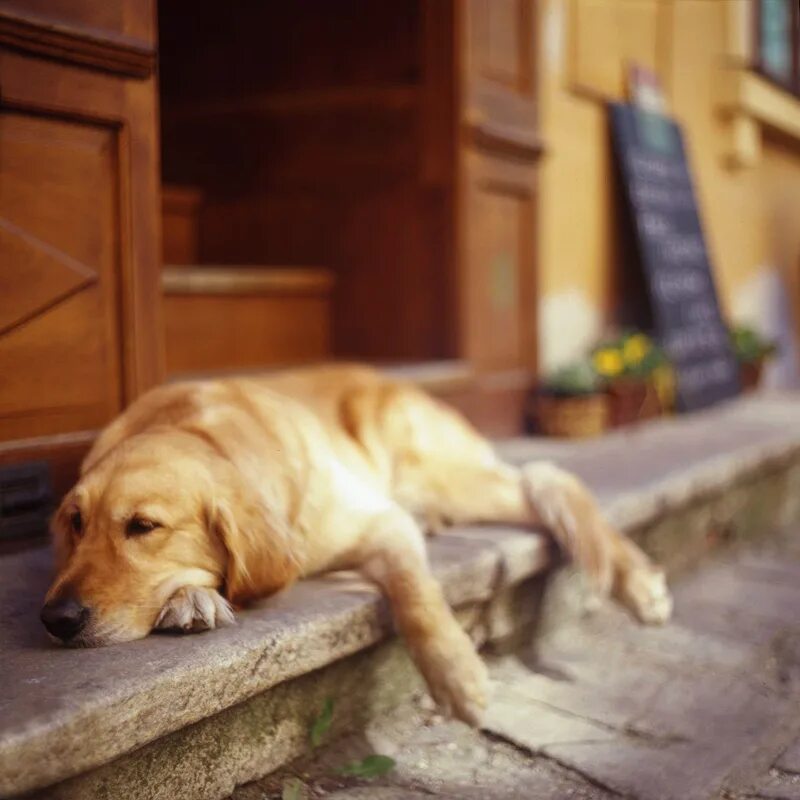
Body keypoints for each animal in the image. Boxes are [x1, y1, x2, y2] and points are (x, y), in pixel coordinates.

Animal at [40, 366, 672, 720]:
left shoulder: (381, 522)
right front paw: (191, 599)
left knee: (551, 478)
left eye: (143, 526)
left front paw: (457, 674)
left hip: (430, 471)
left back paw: (640, 584)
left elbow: (416, 593)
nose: (57, 618)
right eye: (75, 523)